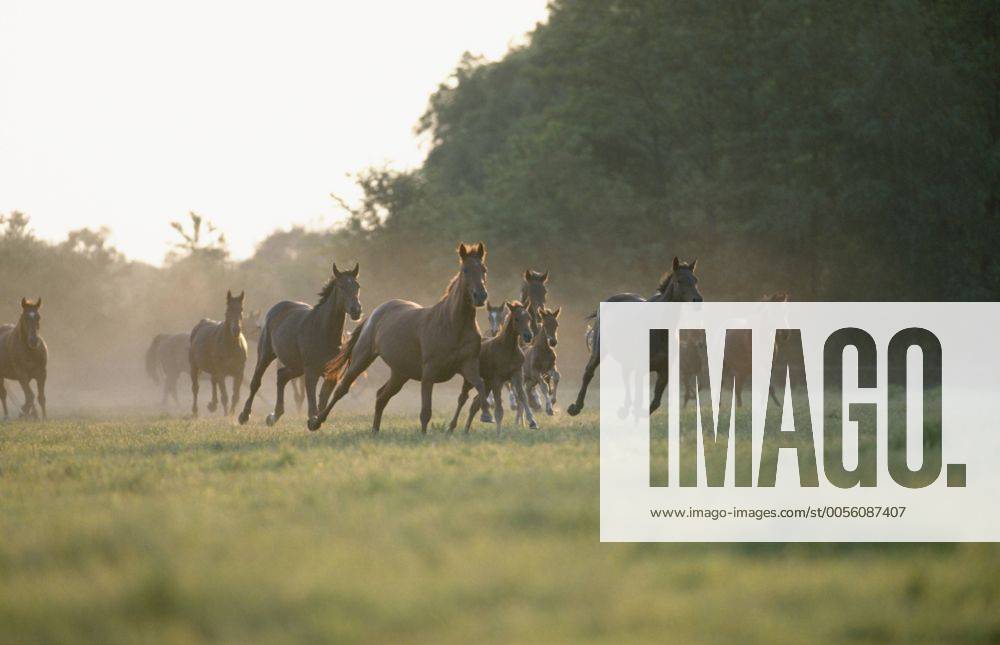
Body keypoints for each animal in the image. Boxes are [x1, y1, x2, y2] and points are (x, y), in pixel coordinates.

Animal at [238, 262, 362, 429]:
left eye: (357, 286)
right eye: (341, 286)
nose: (356, 310)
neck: (323, 331)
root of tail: (277, 307)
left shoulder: (332, 374)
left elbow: (323, 399)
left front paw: (317, 421)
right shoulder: (311, 372)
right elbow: (312, 399)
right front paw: (312, 420)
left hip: (296, 366)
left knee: (281, 376)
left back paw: (274, 416)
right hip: (266, 355)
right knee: (256, 383)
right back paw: (244, 416)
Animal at [315, 242, 489, 434]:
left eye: (484, 269)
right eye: (465, 270)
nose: (481, 296)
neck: (452, 324)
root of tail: (374, 313)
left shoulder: (468, 365)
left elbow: (480, 384)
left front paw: (486, 415)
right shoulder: (429, 373)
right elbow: (425, 411)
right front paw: (423, 436)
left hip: (400, 373)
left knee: (381, 396)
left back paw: (375, 431)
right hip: (362, 359)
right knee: (342, 389)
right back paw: (315, 422)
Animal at [448, 301, 536, 433]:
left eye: (529, 318)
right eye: (516, 318)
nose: (528, 336)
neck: (508, 349)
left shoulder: (517, 374)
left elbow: (522, 396)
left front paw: (532, 422)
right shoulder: (497, 380)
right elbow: (499, 409)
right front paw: (498, 433)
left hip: (486, 383)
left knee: (475, 404)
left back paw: (466, 431)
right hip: (471, 380)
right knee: (463, 399)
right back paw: (451, 427)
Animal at [566, 257, 703, 417]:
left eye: (695, 280)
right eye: (679, 280)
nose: (698, 300)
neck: (659, 330)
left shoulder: (664, 371)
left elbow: (655, 402)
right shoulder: (641, 368)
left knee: (626, 378)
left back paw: (625, 408)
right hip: (599, 351)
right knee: (589, 373)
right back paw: (575, 407)